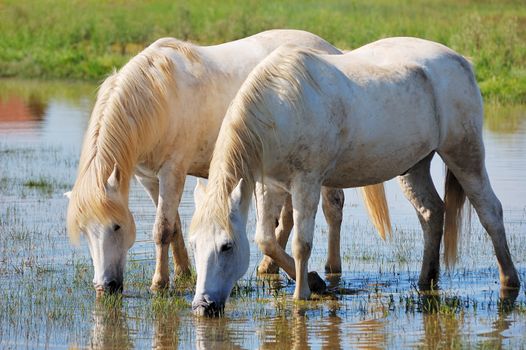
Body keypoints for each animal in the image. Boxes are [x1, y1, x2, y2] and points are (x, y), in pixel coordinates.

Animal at [65, 29, 388, 292]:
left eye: (117, 227)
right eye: (85, 231)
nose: (105, 287)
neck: (159, 95)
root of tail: (334, 52)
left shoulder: (173, 171)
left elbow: (162, 229)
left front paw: (159, 283)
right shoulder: (148, 177)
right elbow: (174, 226)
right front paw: (183, 272)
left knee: (332, 209)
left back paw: (329, 271)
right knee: (284, 219)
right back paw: (270, 268)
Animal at [190, 37, 520, 314]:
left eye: (226, 246)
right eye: (194, 244)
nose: (203, 306)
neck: (280, 107)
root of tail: (461, 61)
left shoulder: (306, 182)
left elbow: (300, 244)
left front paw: (301, 295)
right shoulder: (269, 185)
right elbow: (266, 240)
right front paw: (316, 280)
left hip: (464, 153)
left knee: (490, 212)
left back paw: (509, 281)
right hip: (415, 166)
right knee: (432, 213)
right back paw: (426, 281)